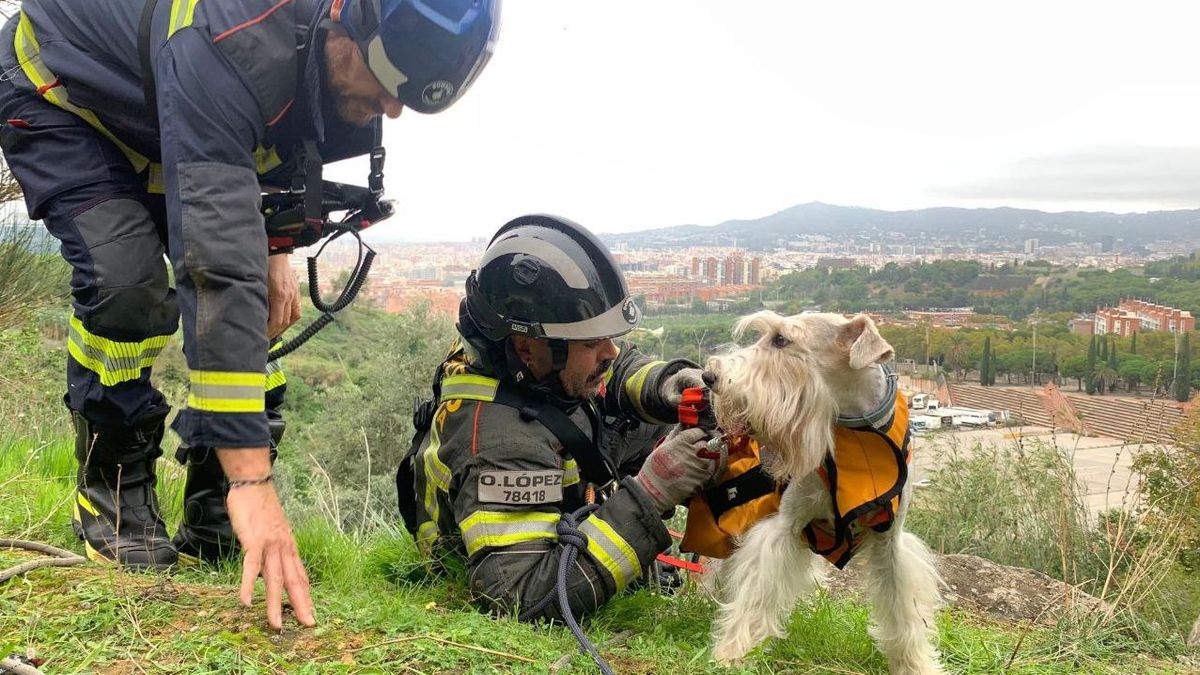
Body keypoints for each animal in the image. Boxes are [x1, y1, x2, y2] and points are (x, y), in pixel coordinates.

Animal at [700, 309, 945, 672]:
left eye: (781, 339)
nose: (710, 376)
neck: (857, 432)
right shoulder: (784, 526)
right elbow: (756, 592)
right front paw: (733, 653)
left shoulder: (891, 540)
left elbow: (903, 609)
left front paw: (914, 664)